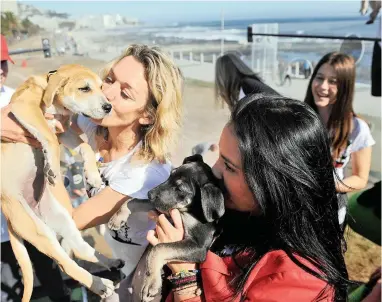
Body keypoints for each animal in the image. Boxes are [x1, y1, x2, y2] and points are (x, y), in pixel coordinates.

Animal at [0, 65, 123, 300]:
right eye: (84, 88)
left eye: (102, 87)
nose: (108, 107)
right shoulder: (24, 108)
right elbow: (48, 137)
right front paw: (52, 167)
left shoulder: (63, 131)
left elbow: (84, 146)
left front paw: (92, 174)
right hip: (39, 232)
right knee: (66, 264)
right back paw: (100, 285)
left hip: (61, 218)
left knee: (82, 249)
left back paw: (110, 265)